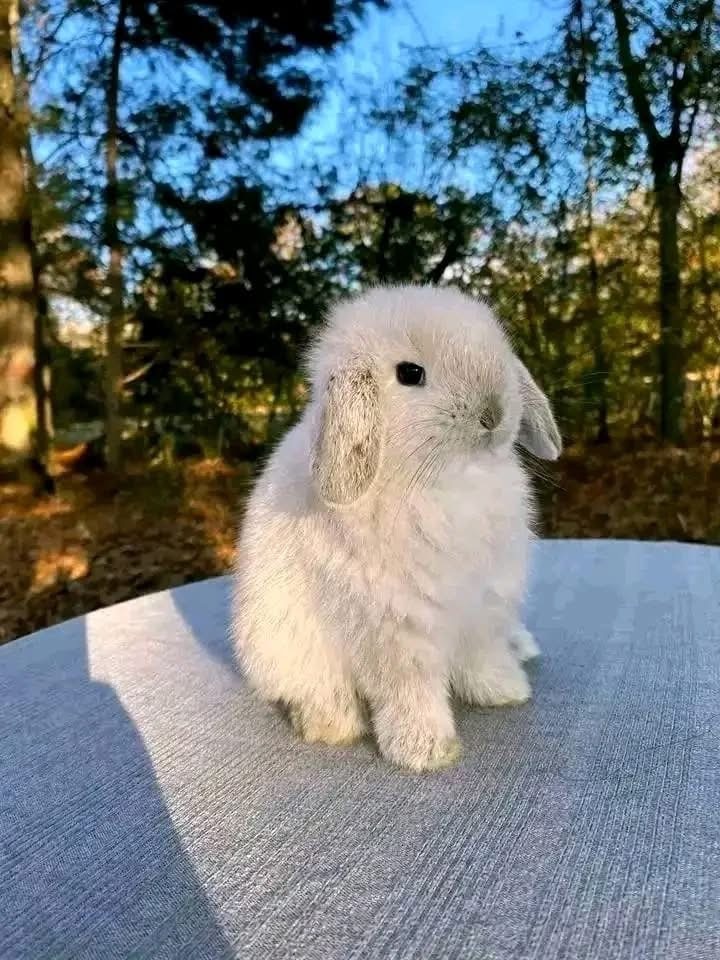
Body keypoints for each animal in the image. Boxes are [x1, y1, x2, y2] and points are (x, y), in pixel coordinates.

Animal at [232, 285, 561, 772]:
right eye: (410, 373)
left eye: (500, 353)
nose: (493, 414)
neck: (447, 481)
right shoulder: (395, 633)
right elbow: (410, 694)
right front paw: (427, 751)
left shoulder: (482, 611)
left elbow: (483, 660)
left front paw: (506, 692)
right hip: (285, 650)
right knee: (315, 691)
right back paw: (331, 727)